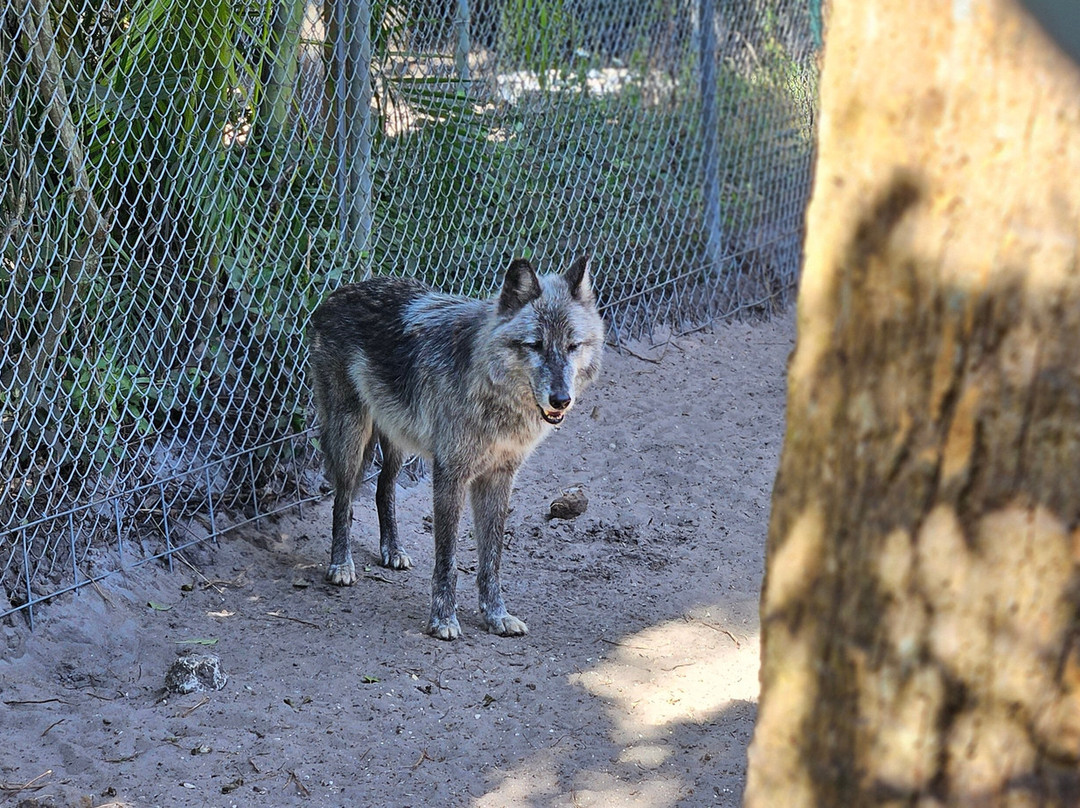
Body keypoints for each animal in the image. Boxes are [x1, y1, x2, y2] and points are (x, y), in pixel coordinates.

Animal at [308, 256, 604, 640]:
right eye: (535, 345)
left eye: (573, 345)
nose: (561, 399)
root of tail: (337, 293)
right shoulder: (450, 474)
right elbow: (446, 558)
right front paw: (443, 619)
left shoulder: (499, 477)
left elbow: (491, 558)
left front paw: (496, 616)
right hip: (351, 437)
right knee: (342, 499)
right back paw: (341, 564)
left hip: (399, 444)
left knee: (383, 488)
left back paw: (393, 550)